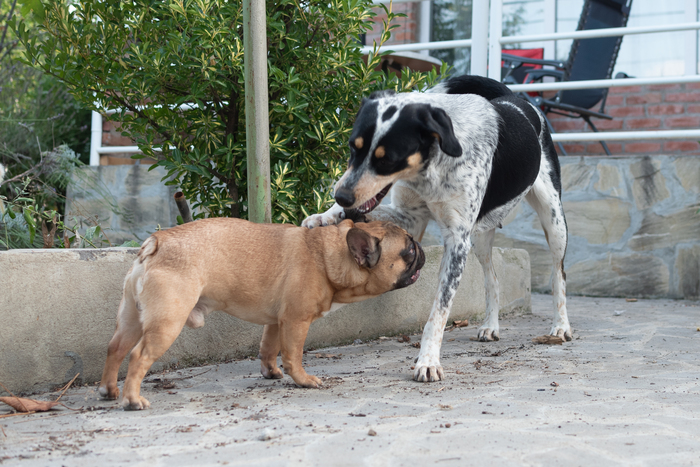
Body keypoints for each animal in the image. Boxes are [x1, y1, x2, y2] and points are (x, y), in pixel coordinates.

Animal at [99, 217, 425, 410]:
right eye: (408, 251)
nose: (421, 248)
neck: (327, 255)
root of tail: (157, 243)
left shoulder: (276, 321)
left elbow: (269, 348)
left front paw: (271, 373)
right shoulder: (296, 320)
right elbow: (293, 354)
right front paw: (303, 380)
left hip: (131, 319)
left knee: (115, 349)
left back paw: (109, 391)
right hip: (168, 321)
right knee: (138, 355)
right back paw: (132, 400)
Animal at [303, 75, 570, 383]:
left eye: (387, 159)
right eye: (352, 147)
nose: (341, 195)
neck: (429, 170)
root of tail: (516, 99)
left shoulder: (456, 240)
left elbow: (439, 311)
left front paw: (428, 360)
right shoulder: (411, 217)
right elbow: (356, 214)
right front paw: (323, 216)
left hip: (553, 220)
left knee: (559, 274)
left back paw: (561, 326)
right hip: (480, 237)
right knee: (492, 278)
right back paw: (491, 325)